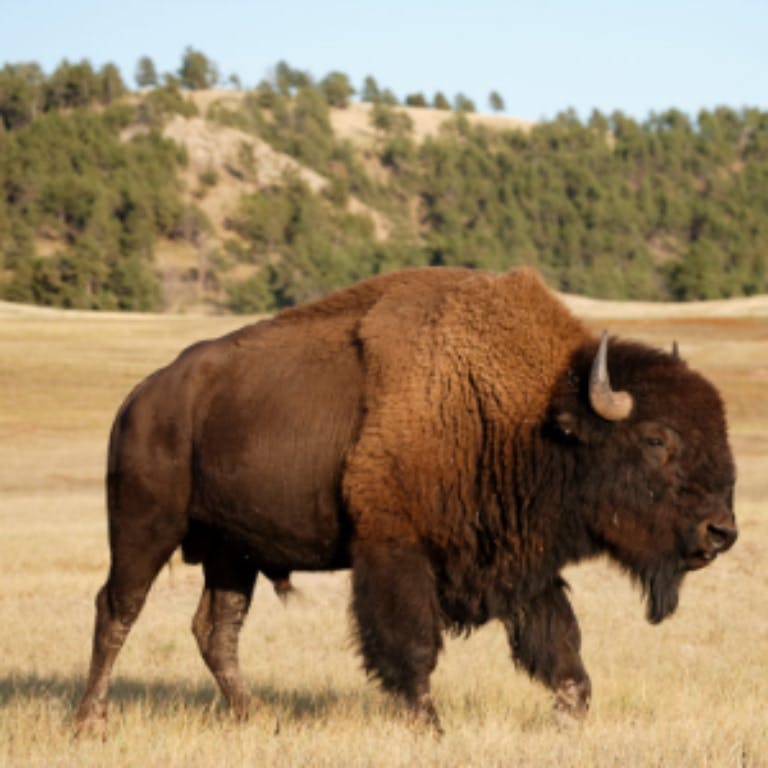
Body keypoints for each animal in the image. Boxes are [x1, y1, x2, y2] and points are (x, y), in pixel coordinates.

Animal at [75, 267, 737, 735]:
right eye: (657, 439)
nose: (721, 532)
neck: (530, 415)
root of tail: (141, 397)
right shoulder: (394, 551)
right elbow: (412, 646)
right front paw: (430, 728)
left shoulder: (522, 566)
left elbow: (562, 649)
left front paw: (567, 720)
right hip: (144, 528)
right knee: (117, 610)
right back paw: (91, 723)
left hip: (232, 553)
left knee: (216, 630)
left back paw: (257, 718)